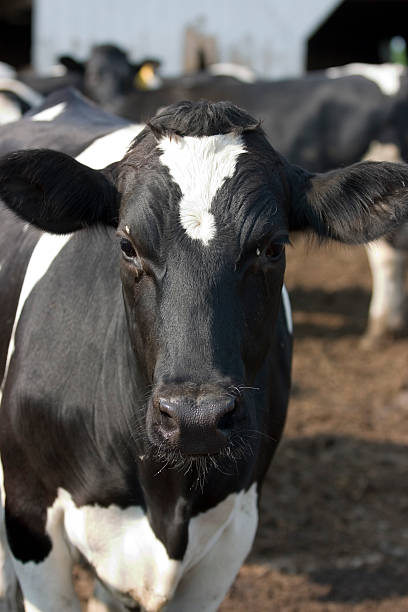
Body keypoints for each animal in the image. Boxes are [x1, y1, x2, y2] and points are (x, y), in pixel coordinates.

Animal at [0, 87, 408, 612]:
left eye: (272, 247)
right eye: (127, 245)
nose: (196, 418)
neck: (164, 500)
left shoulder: (234, 528)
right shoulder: (30, 513)